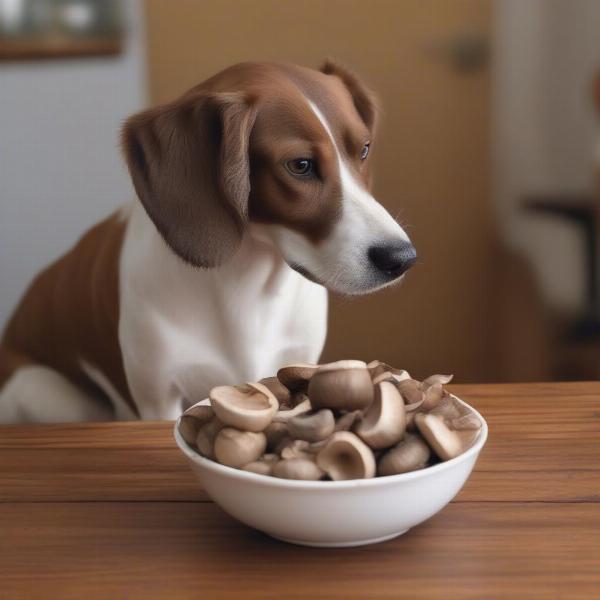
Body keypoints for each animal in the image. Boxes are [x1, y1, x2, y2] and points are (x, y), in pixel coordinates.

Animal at [0, 61, 412, 422]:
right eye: (300, 165)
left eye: (364, 149)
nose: (402, 257)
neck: (246, 287)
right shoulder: (158, 397)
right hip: (44, 391)